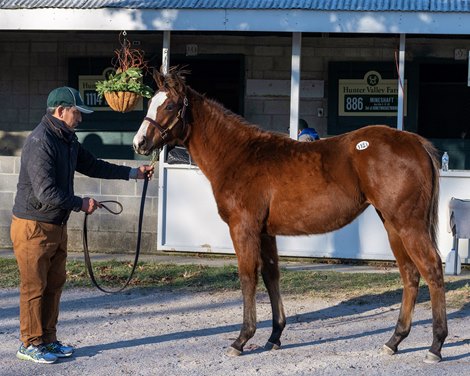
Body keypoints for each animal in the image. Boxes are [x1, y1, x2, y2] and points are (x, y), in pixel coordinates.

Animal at [132, 67, 448, 364]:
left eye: (169, 105)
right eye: (151, 102)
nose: (140, 142)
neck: (239, 155)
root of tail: (416, 143)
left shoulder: (243, 227)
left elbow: (247, 276)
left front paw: (242, 339)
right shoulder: (265, 232)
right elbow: (271, 275)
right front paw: (274, 335)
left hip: (408, 224)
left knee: (432, 269)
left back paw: (435, 345)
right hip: (392, 225)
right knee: (410, 274)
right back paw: (394, 341)